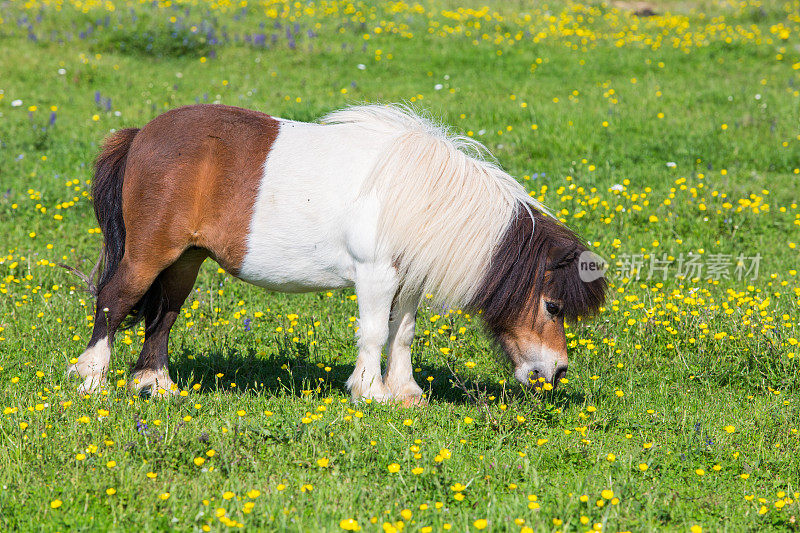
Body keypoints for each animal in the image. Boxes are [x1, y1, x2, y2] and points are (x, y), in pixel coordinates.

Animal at [70, 104, 608, 402]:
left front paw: (406, 393)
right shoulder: (376, 275)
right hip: (149, 255)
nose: (555, 373)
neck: (421, 195)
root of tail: (141, 135)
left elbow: (402, 334)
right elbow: (373, 333)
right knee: (113, 302)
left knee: (163, 315)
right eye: (552, 306)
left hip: (185, 260)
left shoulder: (406, 282)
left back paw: (155, 386)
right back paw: (92, 382)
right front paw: (371, 392)